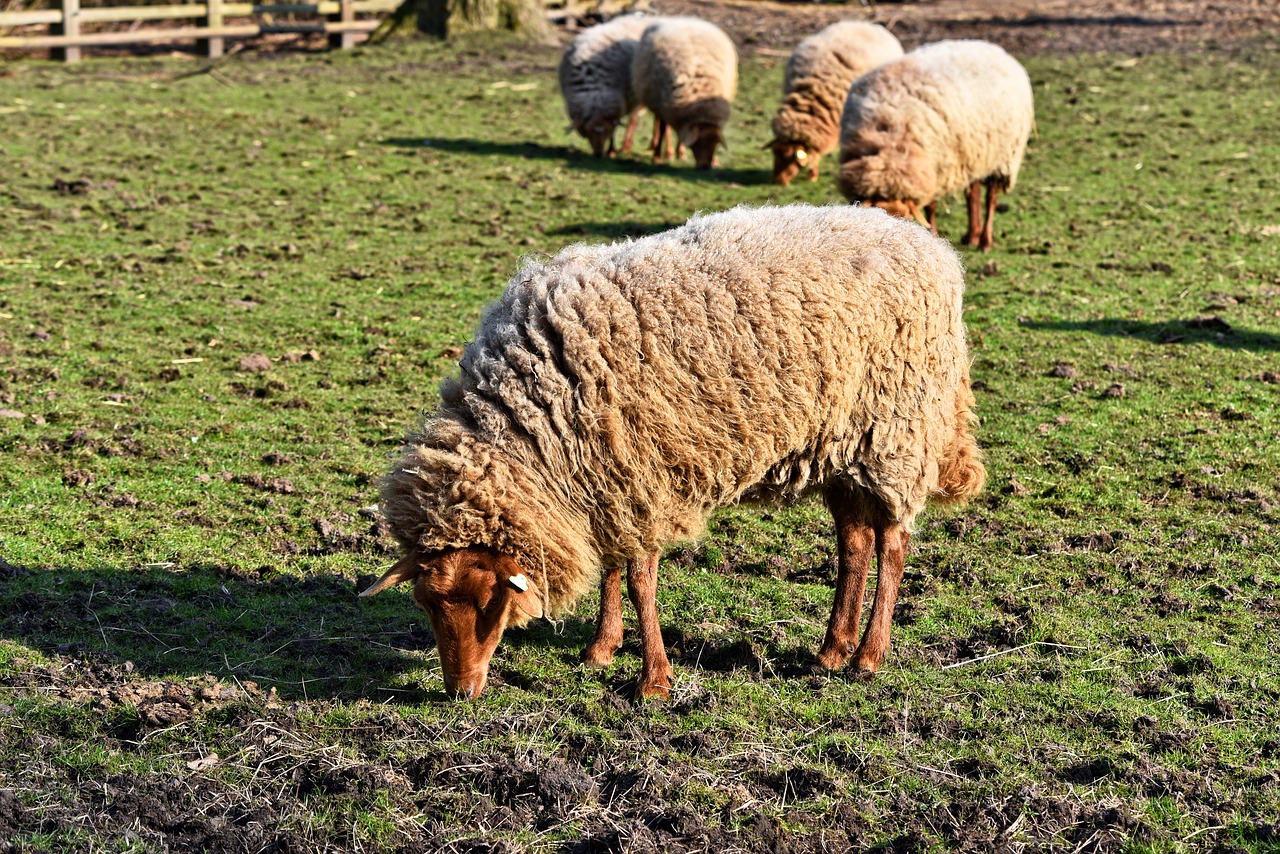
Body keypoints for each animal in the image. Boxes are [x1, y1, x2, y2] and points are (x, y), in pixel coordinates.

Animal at [360, 204, 988, 701]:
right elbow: (615, 566)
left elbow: (641, 580)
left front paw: (653, 681)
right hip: (841, 448)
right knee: (855, 545)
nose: (460, 693)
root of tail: (926, 243)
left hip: (895, 433)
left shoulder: (639, 474)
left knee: (893, 546)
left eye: (491, 602)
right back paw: (831, 651)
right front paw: (601, 649)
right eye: (428, 606)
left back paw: (867, 658)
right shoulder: (608, 477)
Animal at [632, 16, 742, 169]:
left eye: (715, 145)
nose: (705, 167)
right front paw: (656, 158)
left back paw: (680, 152)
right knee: (660, 125)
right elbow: (662, 130)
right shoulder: (664, 105)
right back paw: (664, 151)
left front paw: (714, 161)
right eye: (698, 143)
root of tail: (682, 18)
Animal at [834, 40, 1034, 250]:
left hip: (1003, 156)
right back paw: (972, 236)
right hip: (977, 153)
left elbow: (931, 206)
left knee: (991, 199)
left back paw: (985, 241)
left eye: (905, 218)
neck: (888, 145)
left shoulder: (939, 166)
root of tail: (992, 47)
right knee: (974, 192)